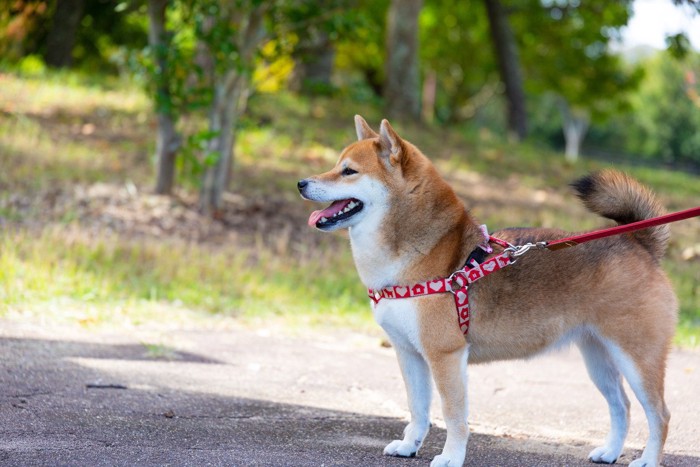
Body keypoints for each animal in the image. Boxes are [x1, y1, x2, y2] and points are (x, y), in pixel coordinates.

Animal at [296, 117, 680, 467]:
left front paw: (451, 457)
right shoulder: (409, 353)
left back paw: (647, 460)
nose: (301, 183)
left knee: (659, 414)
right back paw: (610, 452)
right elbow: (417, 409)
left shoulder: (445, 355)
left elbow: (452, 414)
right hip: (598, 358)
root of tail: (639, 244)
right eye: (336, 165)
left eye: (348, 171)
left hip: (636, 358)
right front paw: (409, 446)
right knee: (621, 406)